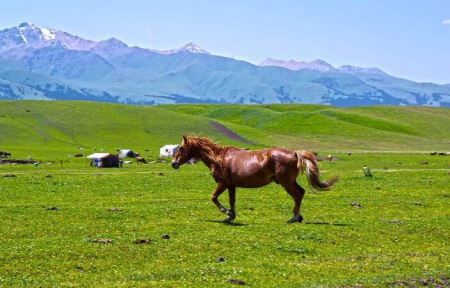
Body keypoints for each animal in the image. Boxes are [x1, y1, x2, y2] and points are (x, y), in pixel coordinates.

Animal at [172, 135, 338, 223]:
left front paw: (226, 213)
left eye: (180, 148)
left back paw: (294, 217)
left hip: (285, 182)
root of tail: (295, 153)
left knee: (297, 195)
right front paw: (231, 216)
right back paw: (298, 216)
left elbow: (213, 197)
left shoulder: (223, 183)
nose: (173, 163)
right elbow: (232, 201)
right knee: (301, 192)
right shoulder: (231, 185)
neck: (219, 158)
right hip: (290, 181)